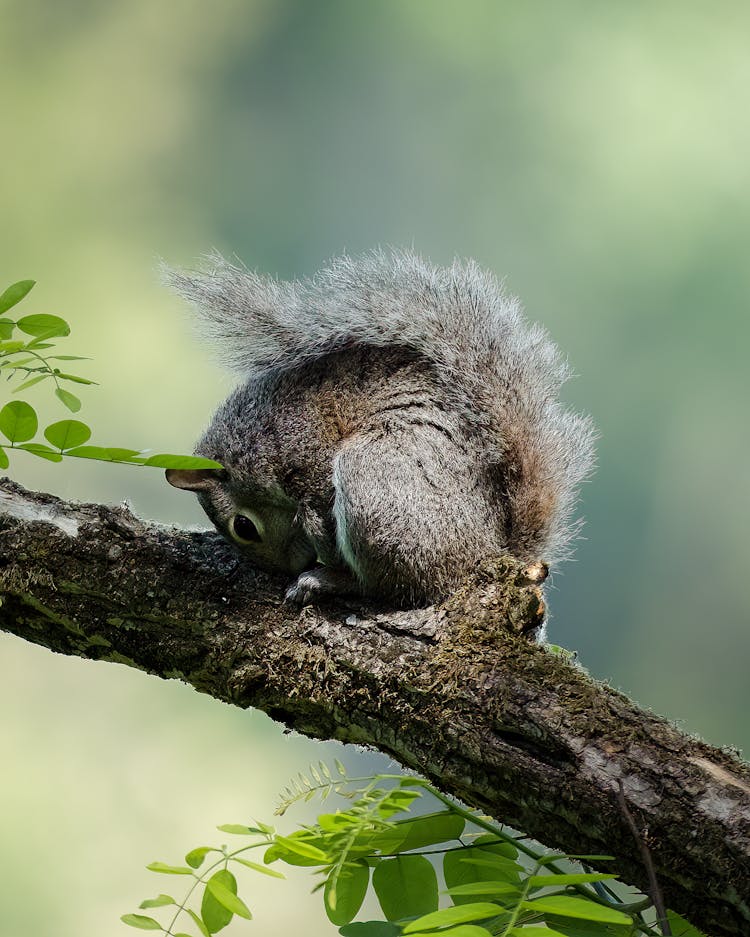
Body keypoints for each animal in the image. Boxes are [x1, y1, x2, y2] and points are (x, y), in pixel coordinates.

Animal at [166, 249, 600, 604]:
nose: (286, 567)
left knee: (389, 588)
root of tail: (493, 550)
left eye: (243, 526)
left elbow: (321, 512)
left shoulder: (306, 450)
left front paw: (318, 551)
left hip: (376, 482)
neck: (252, 441)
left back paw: (327, 581)